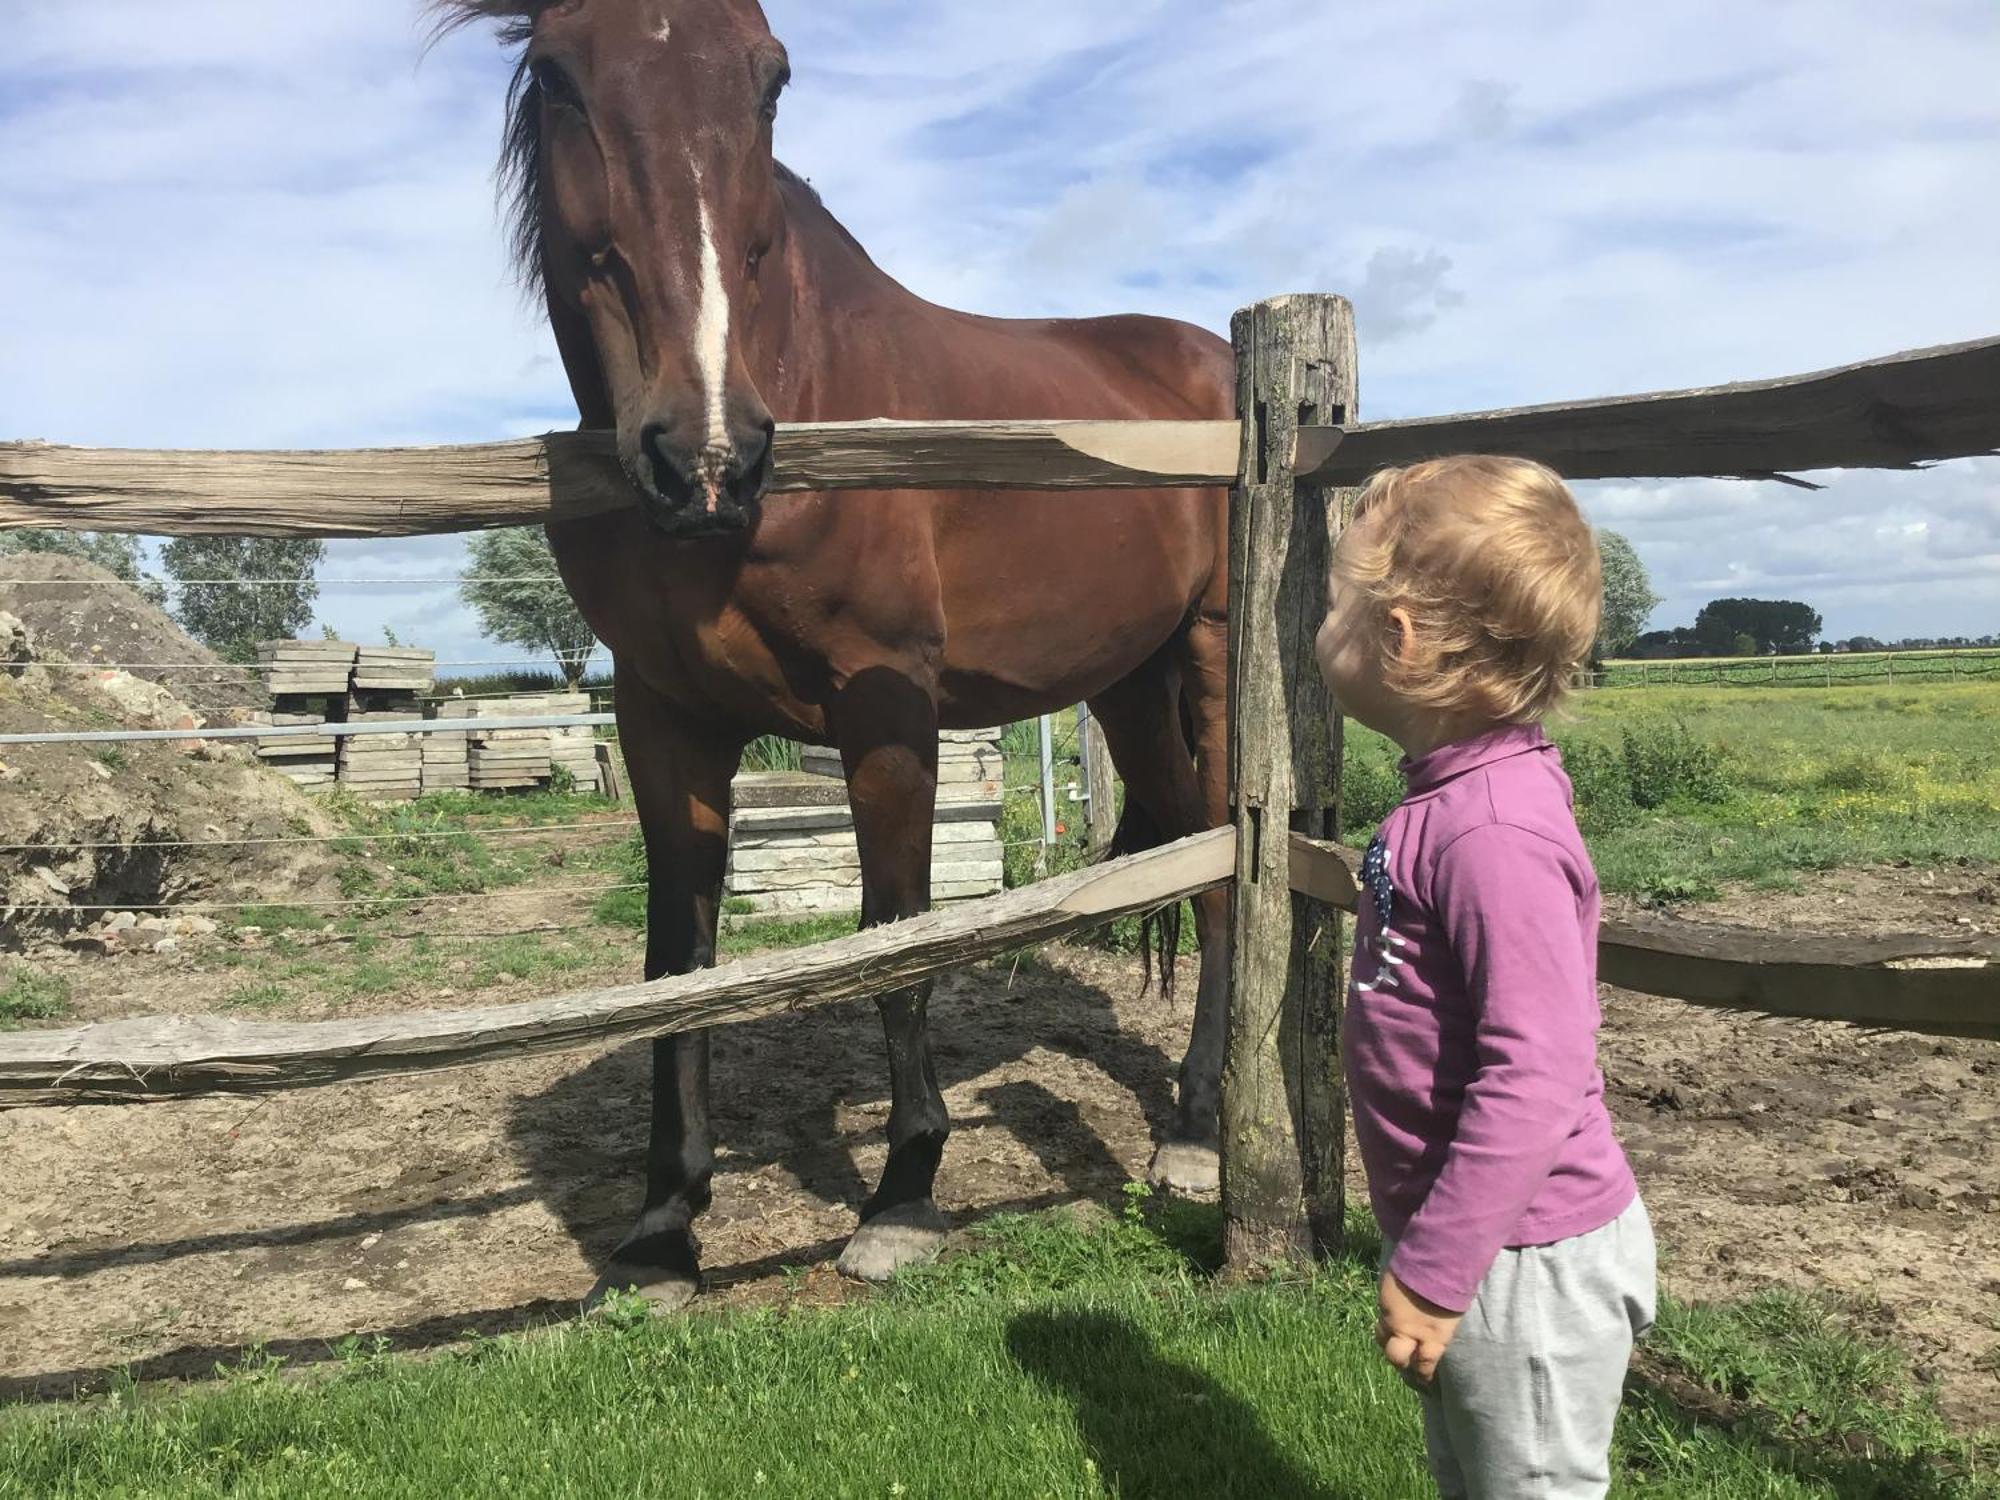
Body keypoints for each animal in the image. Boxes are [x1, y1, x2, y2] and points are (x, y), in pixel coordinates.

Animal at [442, 0, 1232, 1312]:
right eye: (556, 75)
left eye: (771, 79)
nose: (704, 455)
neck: (808, 390)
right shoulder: (664, 726)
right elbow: (679, 960)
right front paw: (660, 1232)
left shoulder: (889, 718)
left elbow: (894, 939)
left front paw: (901, 1198)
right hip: (1128, 682)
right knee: (1180, 842)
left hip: (1215, 665)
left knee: (1226, 864)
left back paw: (1196, 1132)